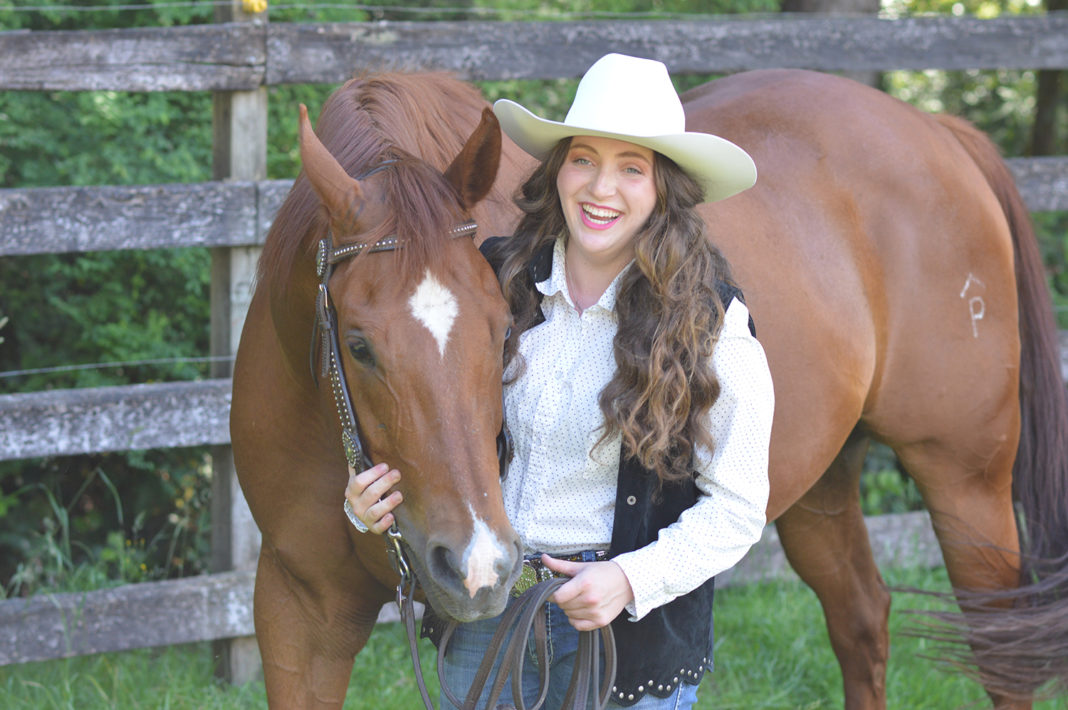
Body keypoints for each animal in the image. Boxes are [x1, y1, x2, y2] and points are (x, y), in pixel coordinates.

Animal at [233, 67, 1068, 708]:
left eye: (501, 329)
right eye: (359, 344)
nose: (477, 567)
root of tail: (938, 131)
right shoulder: (299, 609)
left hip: (965, 478)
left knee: (998, 650)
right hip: (822, 484)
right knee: (861, 619)